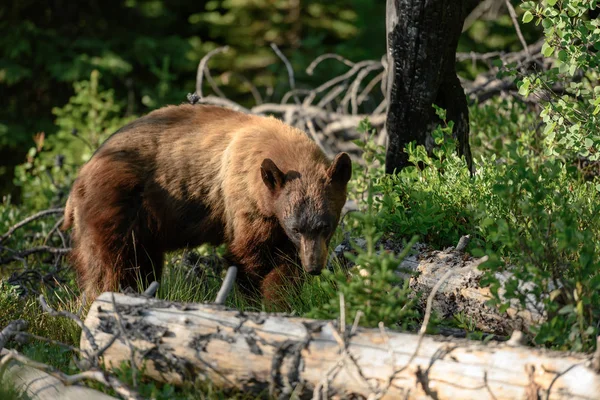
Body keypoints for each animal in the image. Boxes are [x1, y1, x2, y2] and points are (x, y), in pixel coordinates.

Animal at [61, 101, 352, 308]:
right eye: (296, 228)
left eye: (325, 226)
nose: (314, 267)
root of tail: (80, 177)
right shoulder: (245, 202)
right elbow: (251, 256)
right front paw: (259, 302)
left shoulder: (274, 216)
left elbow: (284, 262)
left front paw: (285, 299)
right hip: (115, 204)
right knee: (109, 264)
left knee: (143, 264)